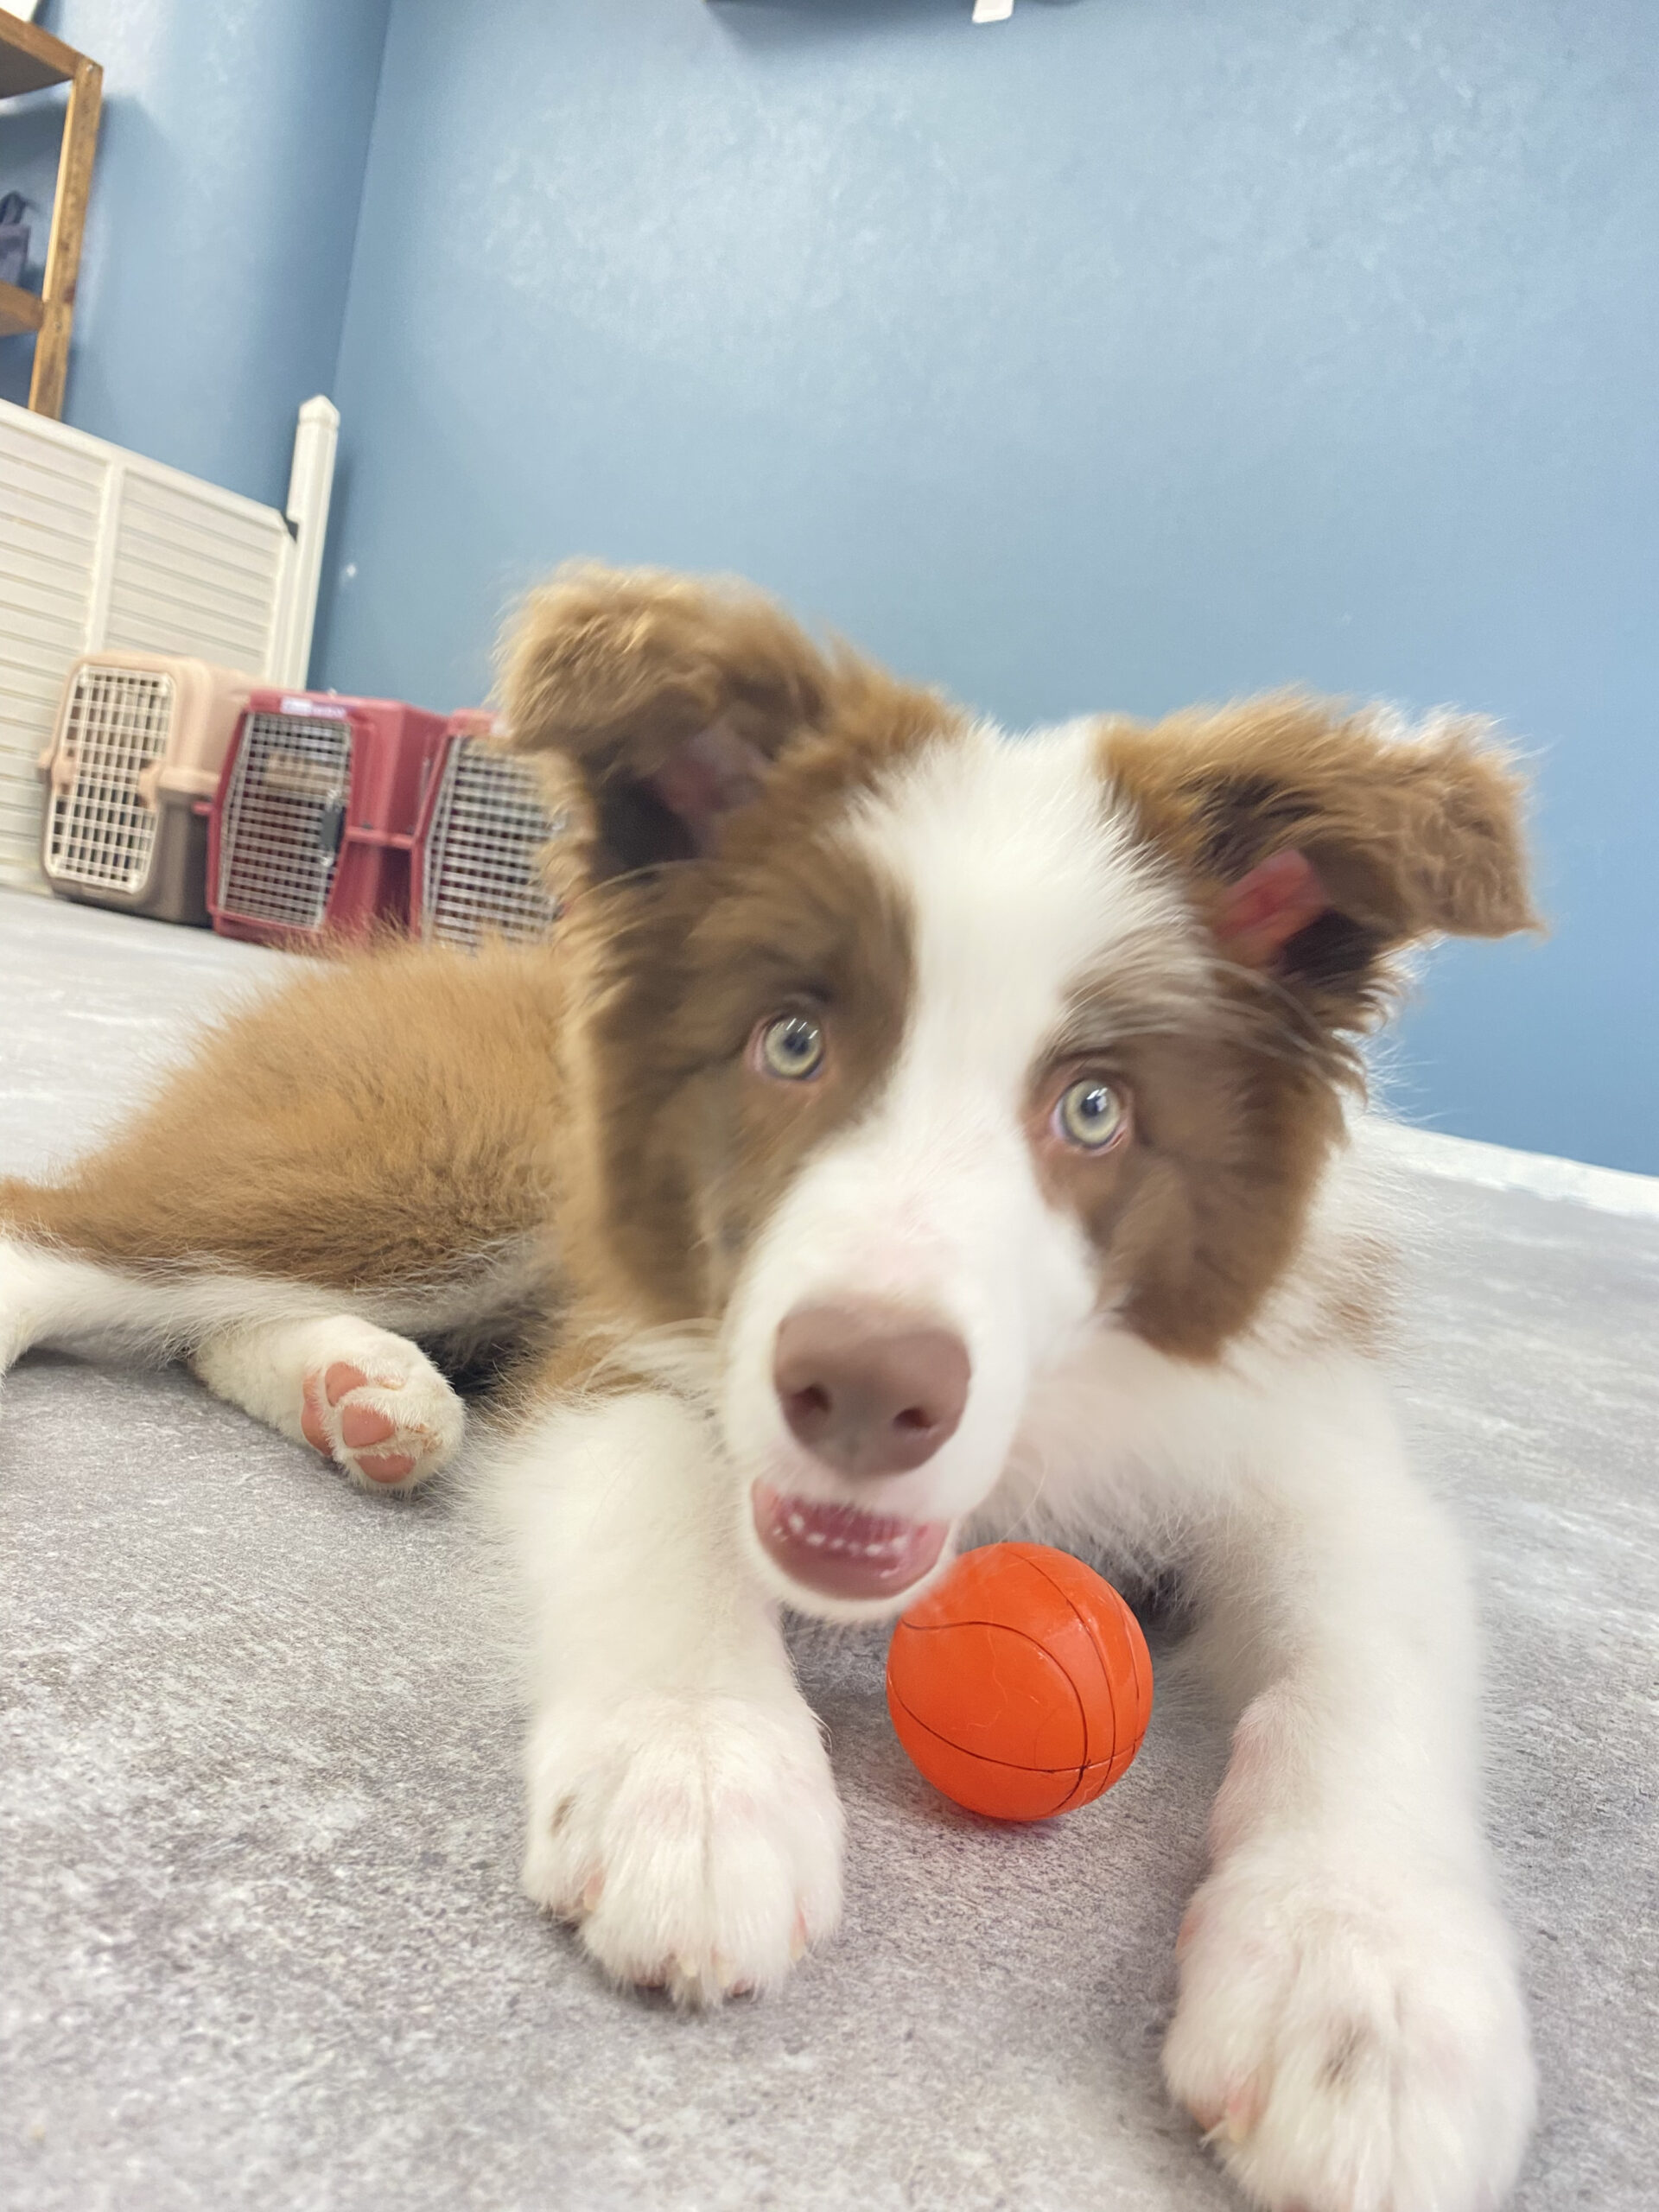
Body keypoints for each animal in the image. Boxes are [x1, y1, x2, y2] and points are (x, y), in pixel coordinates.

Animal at [0, 565, 1539, 2212]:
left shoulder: (1302, 1432)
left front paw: (1365, 1992)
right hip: (440, 1166)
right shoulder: (624, 1345)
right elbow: (669, 1512)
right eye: (790, 1043)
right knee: (66, 1237)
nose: (861, 1393)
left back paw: (366, 1397)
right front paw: (695, 1784)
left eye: (1096, 1111)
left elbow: (1369, 1652)